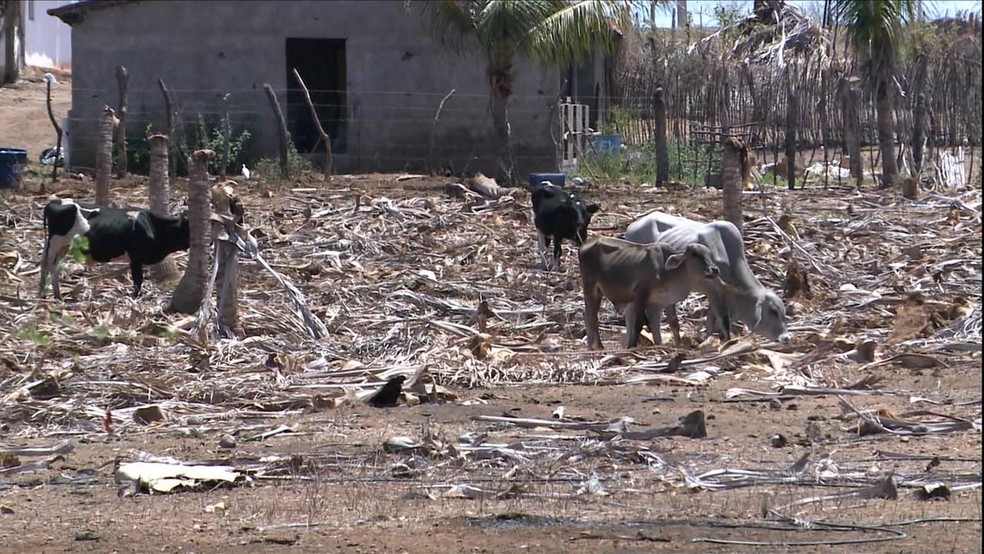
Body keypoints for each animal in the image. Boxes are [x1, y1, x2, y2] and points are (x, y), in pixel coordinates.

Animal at [40, 198, 191, 298]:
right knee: (47, 265)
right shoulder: (135, 258)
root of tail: (56, 201)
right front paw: (135, 297)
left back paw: (56, 295)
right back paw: (44, 294)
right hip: (55, 242)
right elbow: (138, 279)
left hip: (63, 246)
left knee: (54, 267)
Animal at [580, 236, 720, 350]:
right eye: (695, 254)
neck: (667, 271)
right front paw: (632, 346)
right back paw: (599, 346)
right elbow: (638, 324)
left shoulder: (666, 300)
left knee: (588, 316)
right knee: (592, 317)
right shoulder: (641, 293)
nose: (715, 269)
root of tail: (586, 244)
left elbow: (673, 324)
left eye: (709, 254)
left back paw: (591, 346)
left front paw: (677, 345)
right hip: (591, 289)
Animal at [624, 210, 792, 340]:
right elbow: (722, 320)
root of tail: (632, 226)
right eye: (773, 312)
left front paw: (707, 340)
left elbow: (711, 319)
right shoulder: (711, 289)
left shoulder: (717, 292)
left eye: (783, 312)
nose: (786, 338)